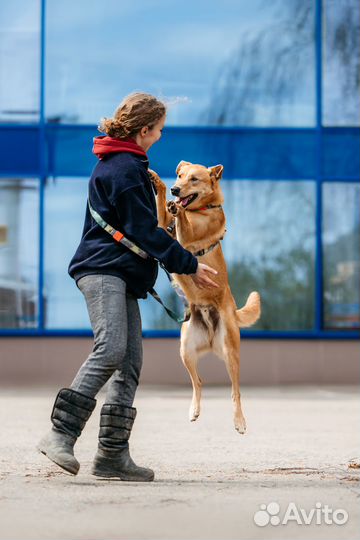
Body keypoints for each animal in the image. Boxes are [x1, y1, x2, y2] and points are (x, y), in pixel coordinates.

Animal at [150, 161, 262, 434]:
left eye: (194, 179)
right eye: (180, 176)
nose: (176, 189)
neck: (200, 210)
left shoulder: (186, 236)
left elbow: (181, 224)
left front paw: (175, 207)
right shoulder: (162, 228)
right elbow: (161, 207)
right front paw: (158, 183)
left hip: (231, 352)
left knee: (235, 391)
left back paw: (239, 421)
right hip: (186, 349)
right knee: (198, 381)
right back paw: (194, 409)